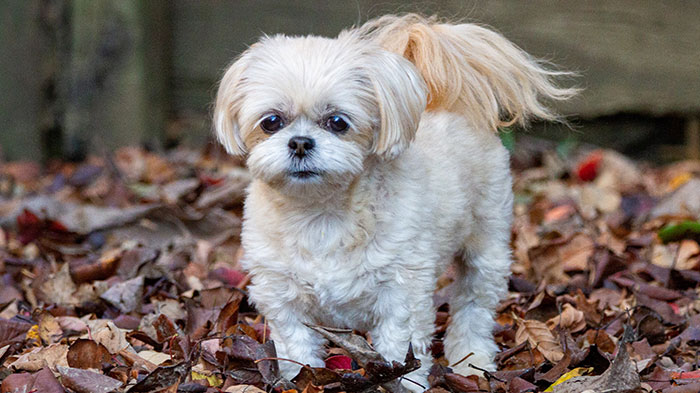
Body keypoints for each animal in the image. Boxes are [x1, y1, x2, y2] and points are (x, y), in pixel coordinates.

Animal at [213, 13, 576, 388]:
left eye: (338, 122)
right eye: (271, 121)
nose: (300, 142)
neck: (322, 214)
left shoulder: (402, 293)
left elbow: (400, 350)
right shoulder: (282, 296)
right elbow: (296, 347)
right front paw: (301, 379)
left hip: (486, 245)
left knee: (473, 307)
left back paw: (471, 361)